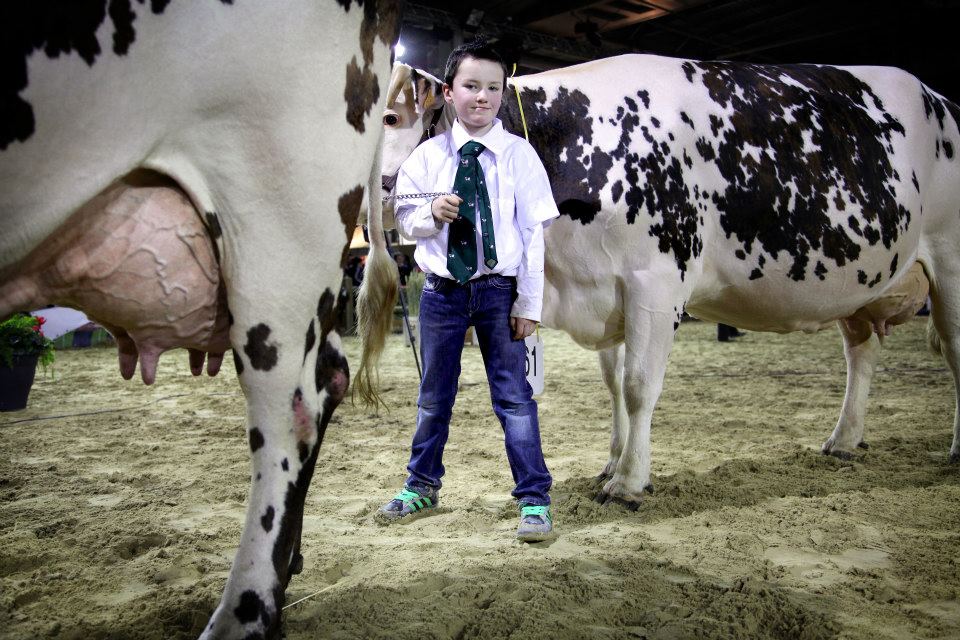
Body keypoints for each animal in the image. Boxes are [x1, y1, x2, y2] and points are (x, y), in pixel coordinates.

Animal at [382, 58, 960, 510]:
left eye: (390, 117)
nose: (389, 201)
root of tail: (941, 99)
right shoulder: (605, 289)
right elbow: (614, 385)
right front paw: (612, 461)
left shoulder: (654, 285)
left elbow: (639, 385)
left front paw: (629, 482)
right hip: (863, 288)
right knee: (861, 353)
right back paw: (843, 440)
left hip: (951, 264)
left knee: (954, 352)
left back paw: (952, 451)